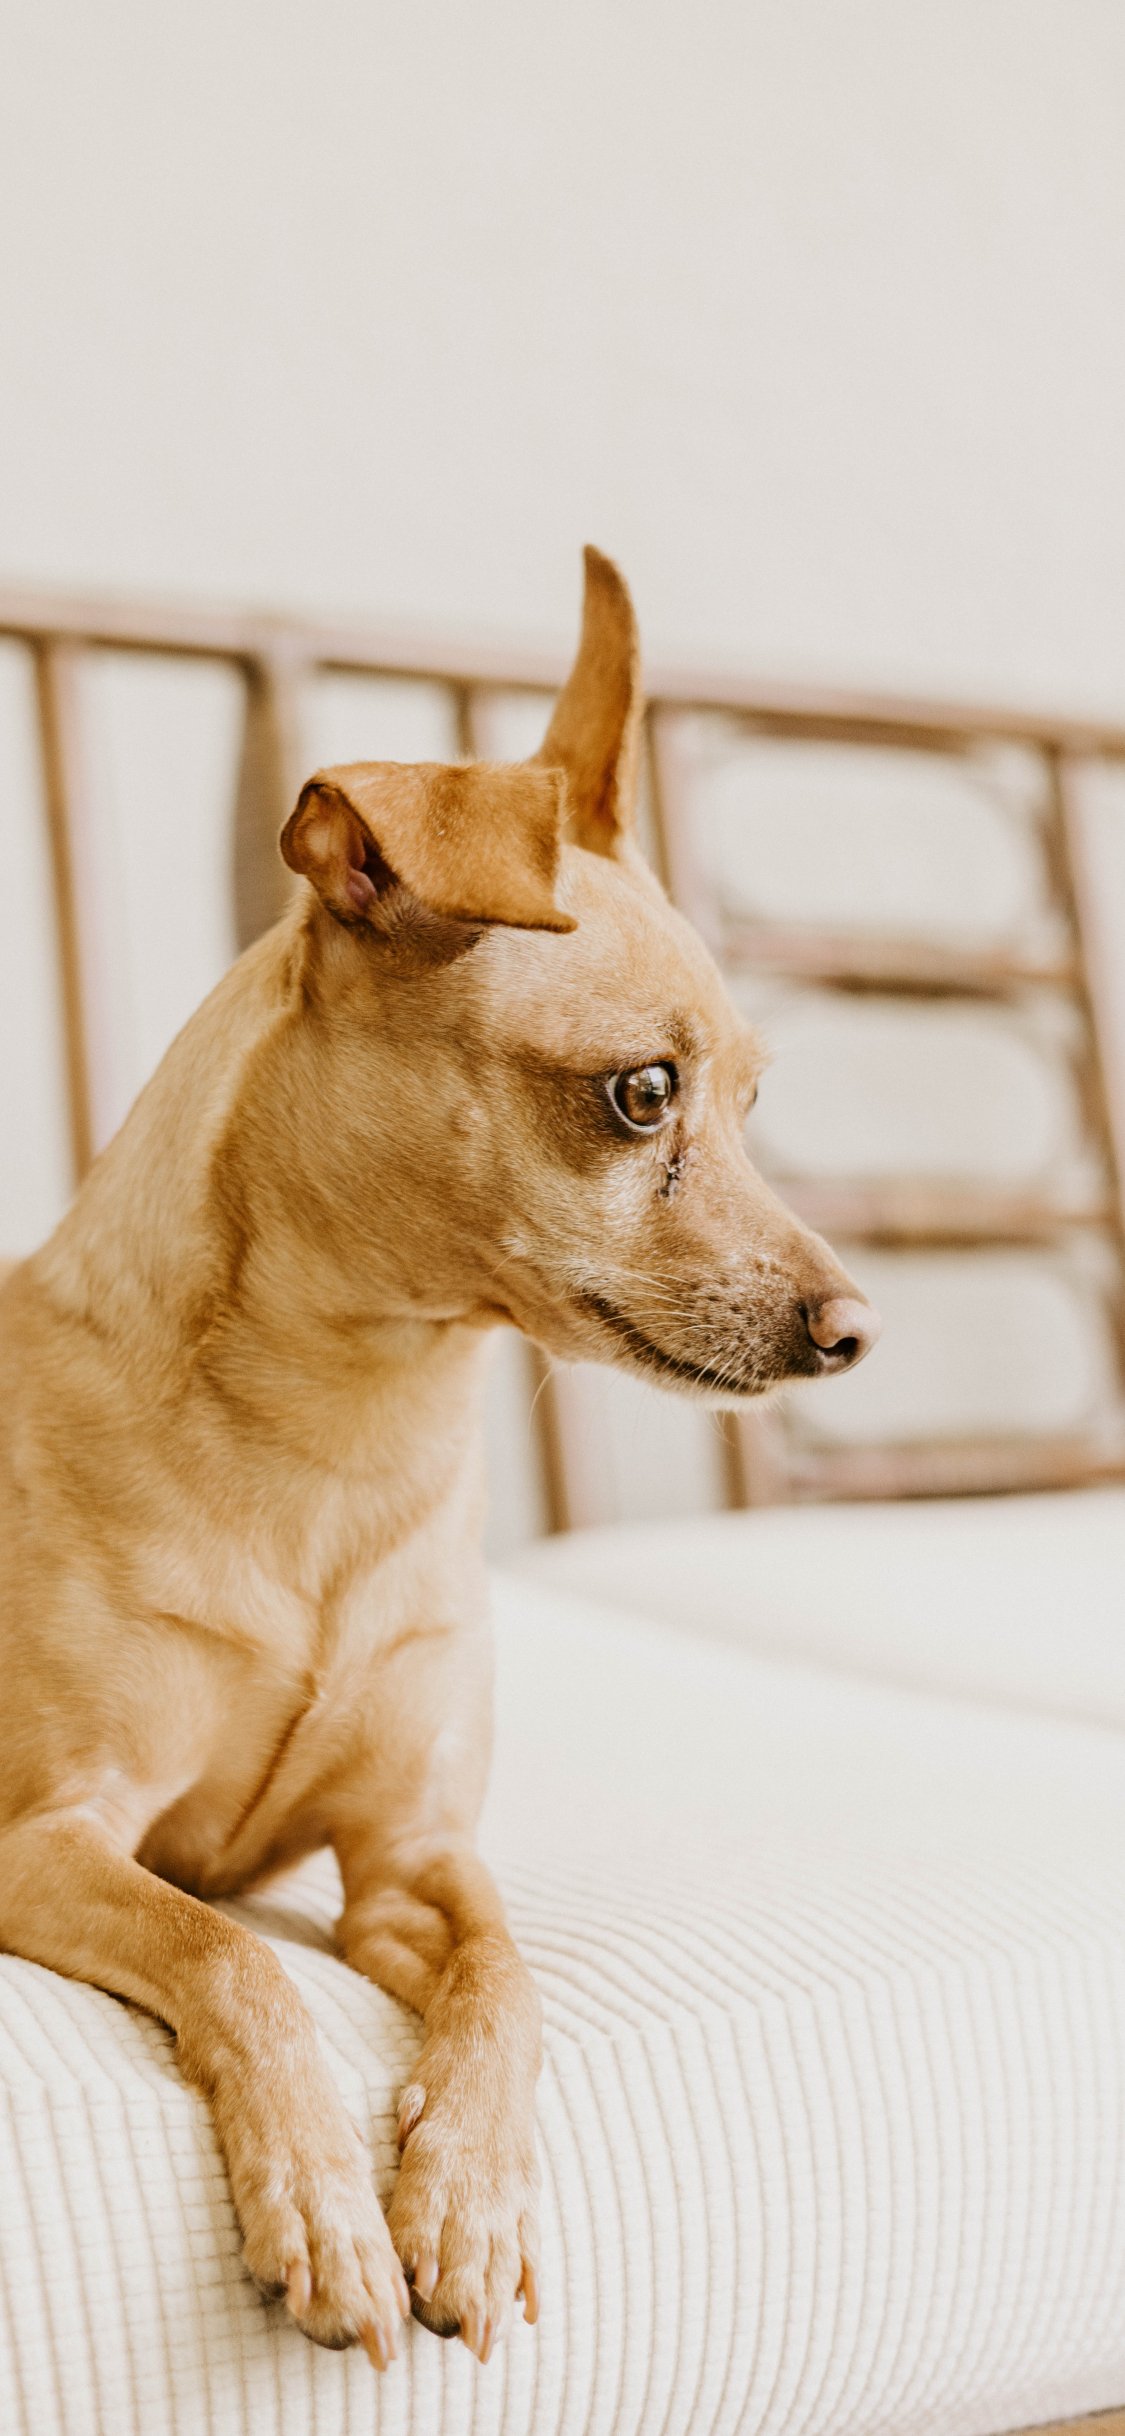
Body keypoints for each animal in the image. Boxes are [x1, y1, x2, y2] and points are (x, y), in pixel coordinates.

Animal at [0, 549, 878, 2371]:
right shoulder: (51, 1838)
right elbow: (231, 1954)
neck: (348, 1427)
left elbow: (511, 1978)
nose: (856, 1331)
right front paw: (325, 2201)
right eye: (641, 1096)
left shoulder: (414, 1864)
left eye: (758, 1103)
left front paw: (463, 2190)